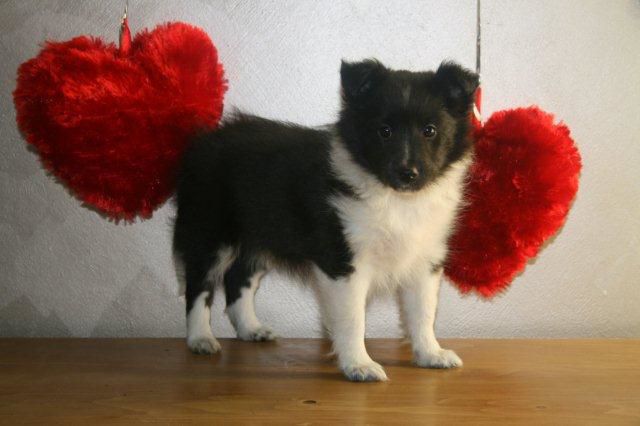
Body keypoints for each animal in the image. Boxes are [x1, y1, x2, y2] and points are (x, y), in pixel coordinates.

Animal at [172, 59, 478, 381]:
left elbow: (423, 312)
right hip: (210, 231)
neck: (395, 198)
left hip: (259, 238)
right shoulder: (343, 261)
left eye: (430, 131)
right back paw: (200, 339)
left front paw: (430, 354)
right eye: (384, 131)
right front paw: (359, 365)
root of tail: (202, 142)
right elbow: (353, 318)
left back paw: (250, 329)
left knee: (238, 279)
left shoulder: (425, 259)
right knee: (199, 285)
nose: (408, 173)